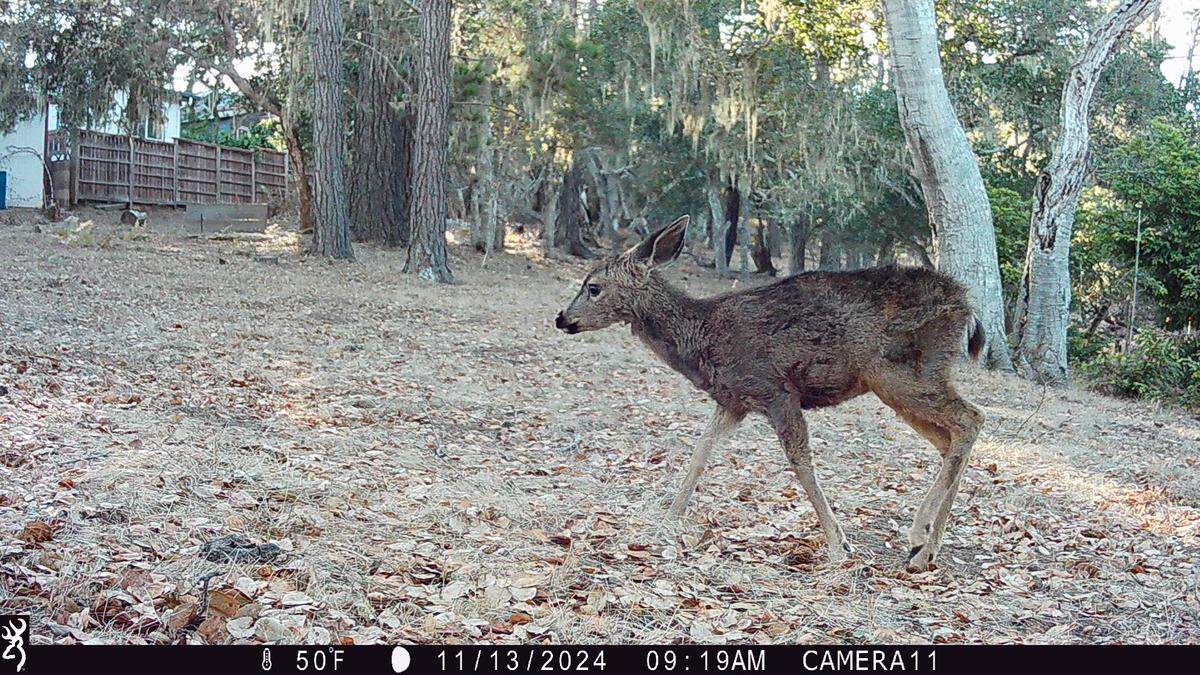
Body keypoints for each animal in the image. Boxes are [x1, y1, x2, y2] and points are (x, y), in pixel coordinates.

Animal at [555, 215, 985, 570]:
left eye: (593, 287)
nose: (562, 318)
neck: (703, 338)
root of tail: (967, 307)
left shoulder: (775, 390)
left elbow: (800, 461)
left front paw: (838, 544)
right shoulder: (733, 400)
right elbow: (701, 450)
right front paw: (670, 514)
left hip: (902, 372)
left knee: (971, 418)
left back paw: (919, 538)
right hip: (903, 382)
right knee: (950, 439)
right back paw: (928, 547)